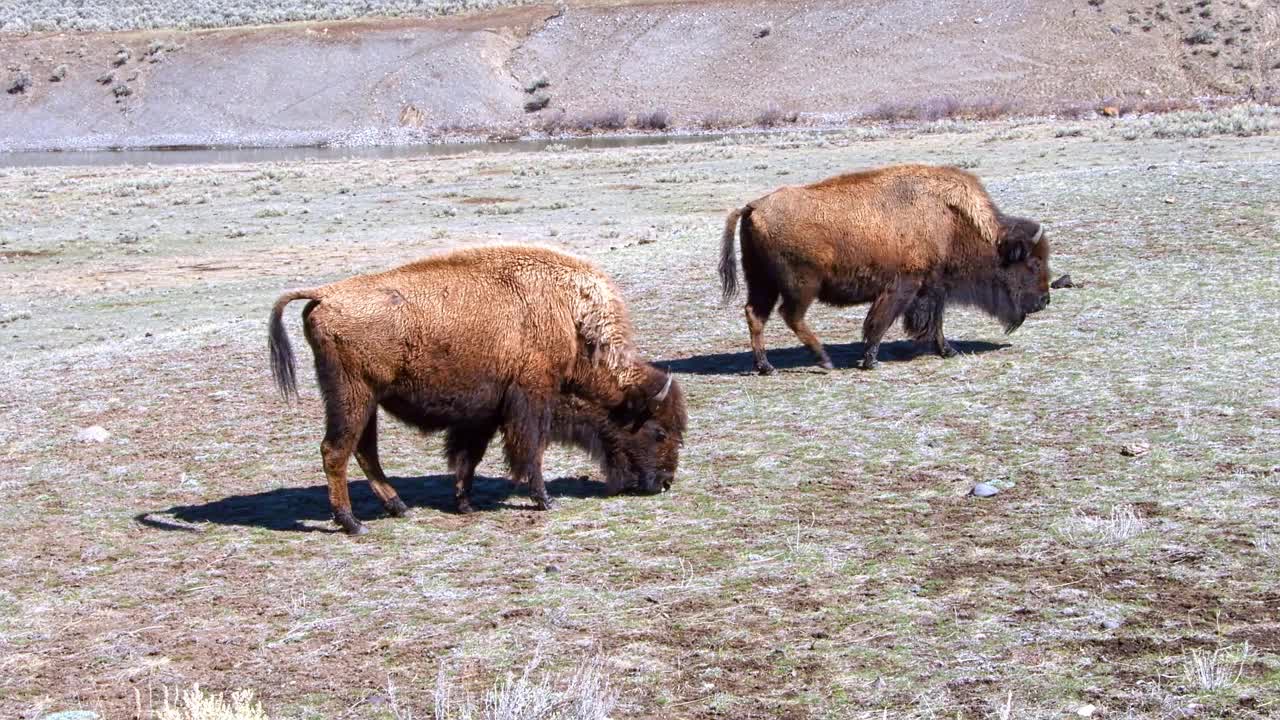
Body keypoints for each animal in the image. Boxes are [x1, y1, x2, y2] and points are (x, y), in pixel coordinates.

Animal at [267, 243, 691, 530]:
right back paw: (351, 523)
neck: (572, 321)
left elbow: (468, 457)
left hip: (366, 401)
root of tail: (323, 295)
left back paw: (398, 507)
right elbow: (530, 450)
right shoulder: (530, 398)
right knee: (335, 451)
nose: (665, 483)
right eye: (658, 432)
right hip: (352, 395)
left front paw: (464, 503)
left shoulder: (483, 414)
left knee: (364, 451)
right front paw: (544, 500)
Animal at [721, 163, 1049, 371]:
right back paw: (823, 360)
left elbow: (934, 323)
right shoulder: (903, 286)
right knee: (790, 316)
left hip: (762, 282)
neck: (951, 220)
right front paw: (870, 360)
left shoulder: (931, 288)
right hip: (801, 286)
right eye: (1033, 262)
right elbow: (881, 322)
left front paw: (948, 351)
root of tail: (753, 206)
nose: (1044, 301)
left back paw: (766, 366)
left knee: (756, 315)